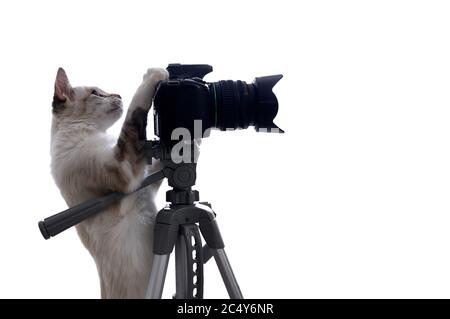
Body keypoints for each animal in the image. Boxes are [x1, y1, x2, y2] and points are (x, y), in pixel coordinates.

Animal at [49, 66, 169, 298]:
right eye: (97, 93)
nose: (119, 95)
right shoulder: (126, 170)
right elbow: (136, 109)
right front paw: (155, 74)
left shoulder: (144, 182)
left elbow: (163, 162)